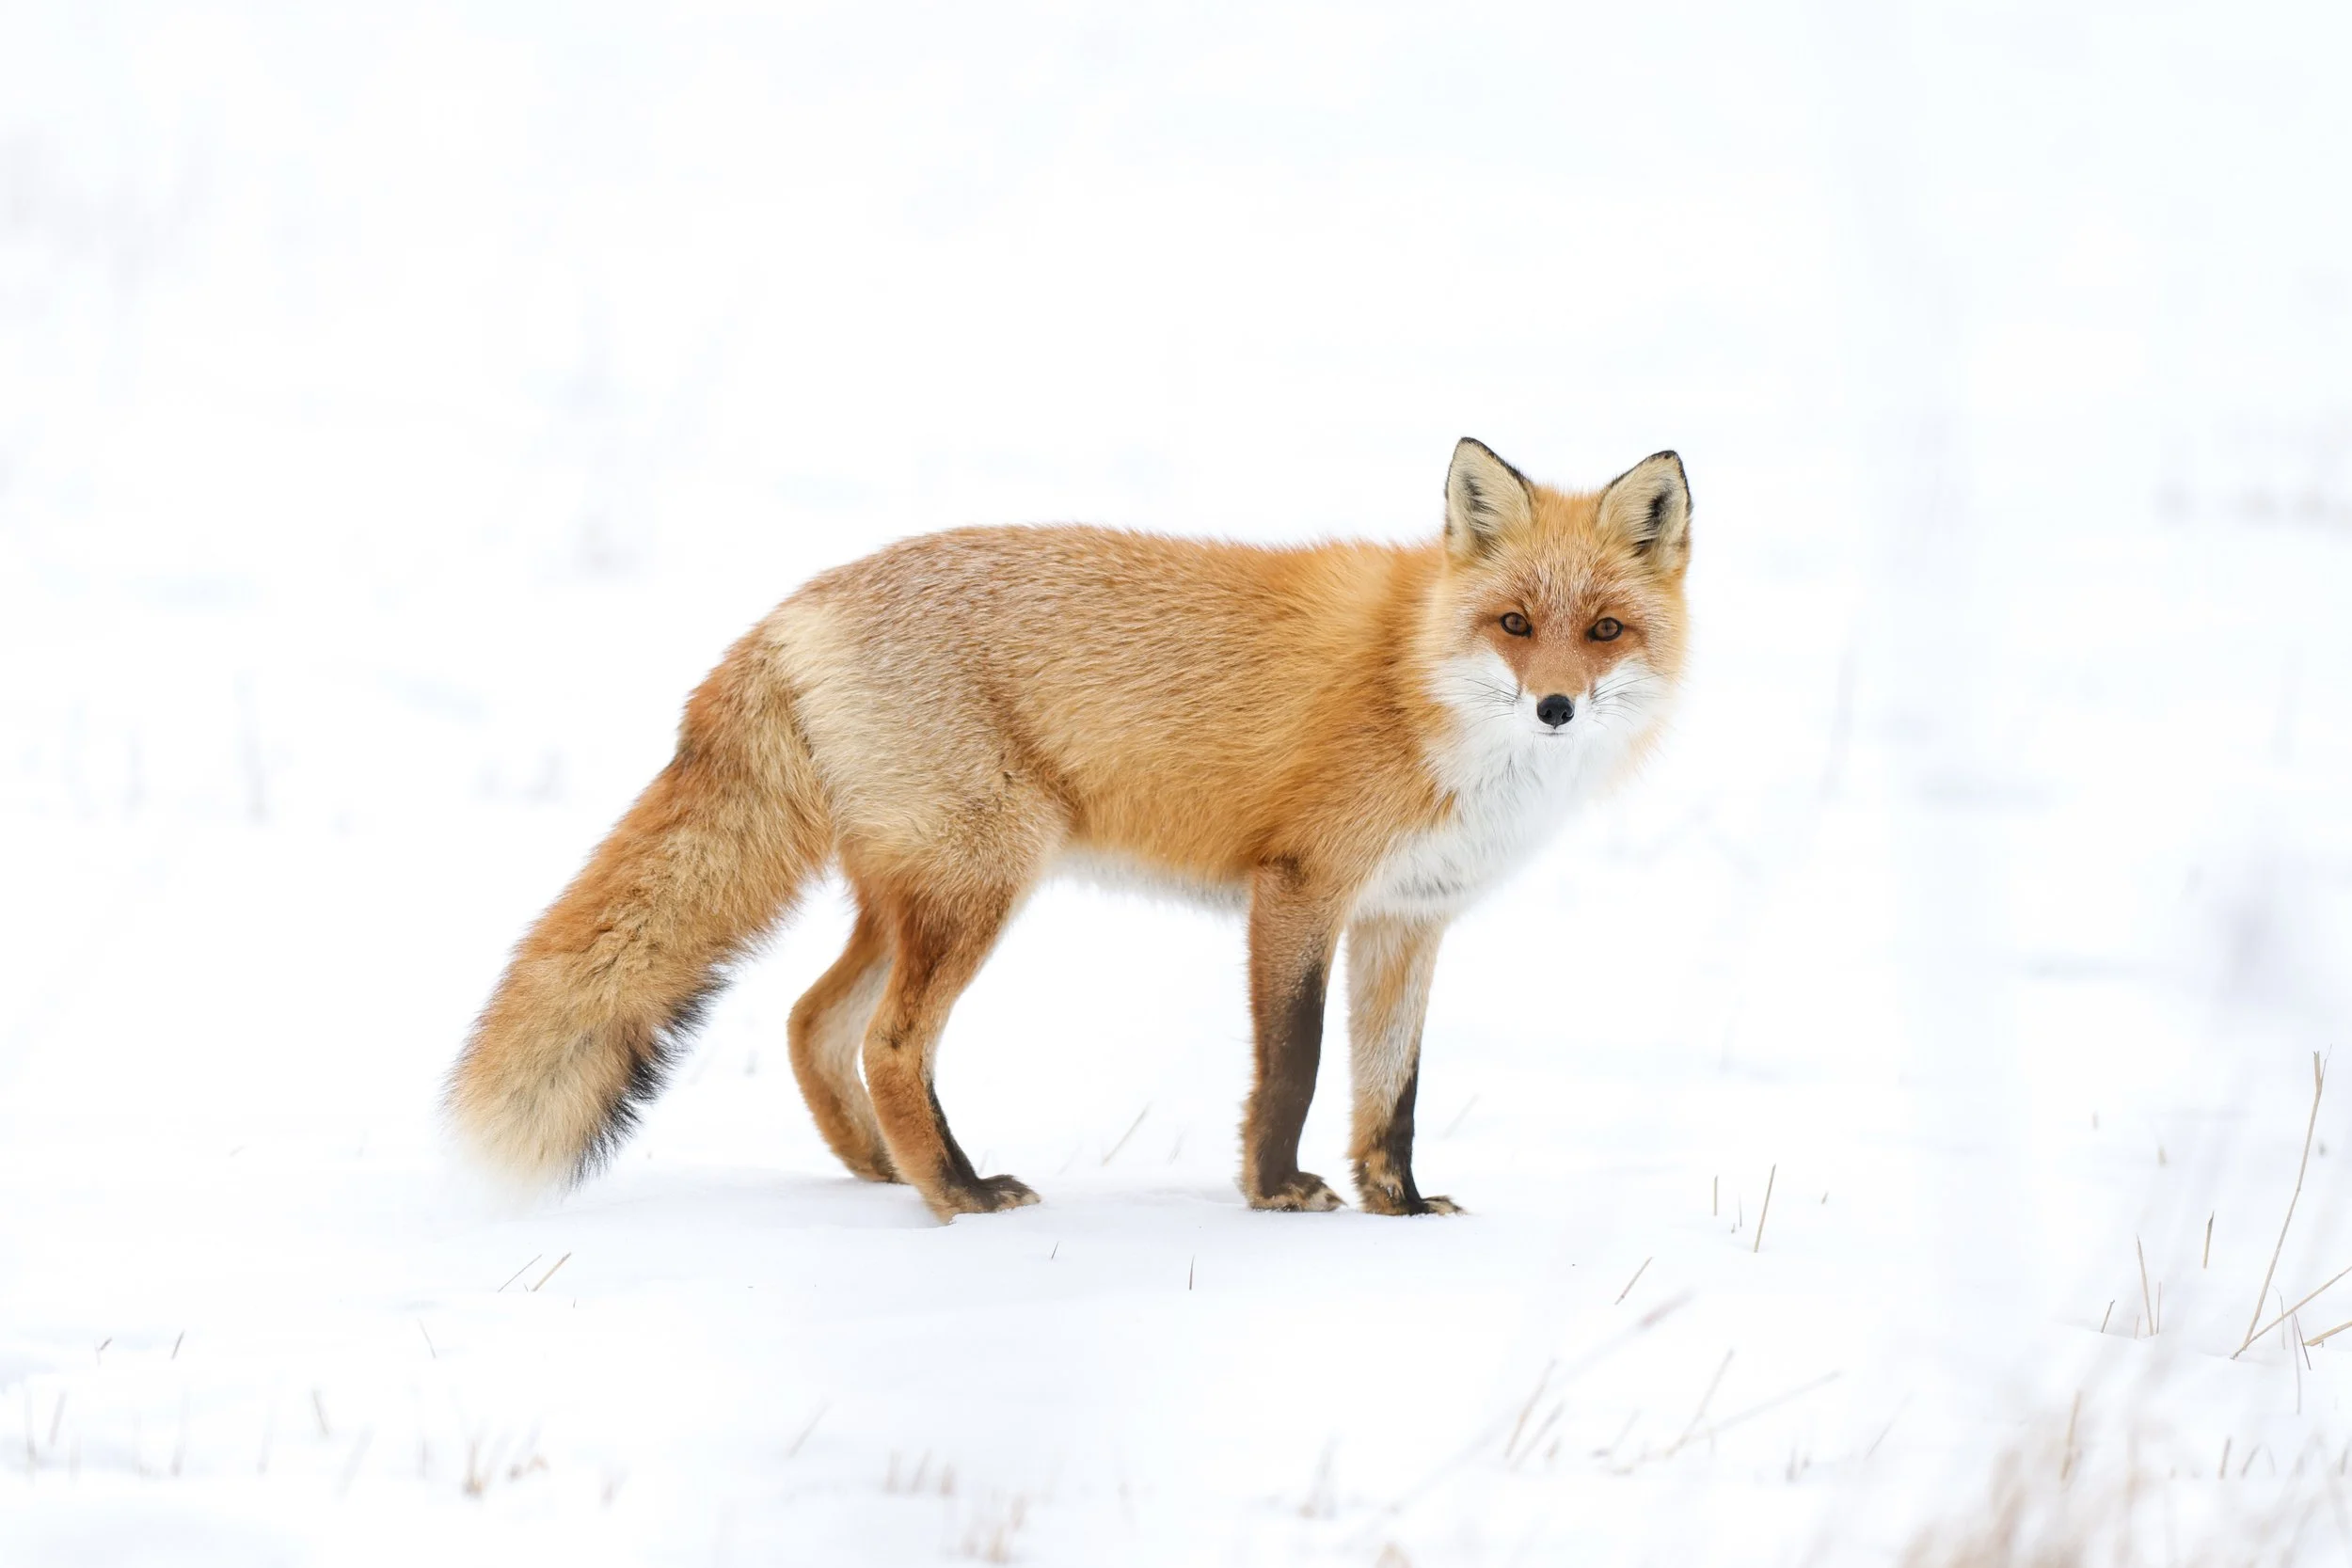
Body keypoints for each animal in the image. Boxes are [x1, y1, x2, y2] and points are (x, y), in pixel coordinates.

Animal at [446, 438, 1691, 1220]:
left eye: (1605, 629)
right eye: (1514, 623)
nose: (1555, 706)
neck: (1418, 680)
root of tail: (792, 609)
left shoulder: (1408, 920)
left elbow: (1391, 1095)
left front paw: (1404, 1206)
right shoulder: (1299, 888)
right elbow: (1292, 1067)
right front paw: (1276, 1193)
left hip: (916, 892)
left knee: (810, 1021)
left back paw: (887, 1172)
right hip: (982, 881)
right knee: (887, 1042)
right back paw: (959, 1194)